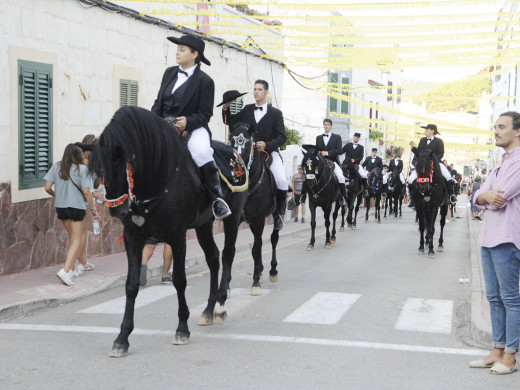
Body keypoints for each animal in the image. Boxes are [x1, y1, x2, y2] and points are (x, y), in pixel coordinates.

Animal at [89, 107, 248, 356]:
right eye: (100, 171)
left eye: (123, 163)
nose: (117, 210)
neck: (159, 175)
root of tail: (235, 154)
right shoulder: (133, 237)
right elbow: (131, 284)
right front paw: (122, 338)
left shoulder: (177, 236)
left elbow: (180, 280)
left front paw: (182, 329)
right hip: (203, 225)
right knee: (213, 258)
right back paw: (208, 310)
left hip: (231, 219)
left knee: (227, 255)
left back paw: (220, 305)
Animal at [229, 122, 278, 296]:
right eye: (231, 142)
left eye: (247, 144)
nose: (236, 169)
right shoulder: (237, 220)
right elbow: (232, 249)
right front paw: (226, 287)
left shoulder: (259, 220)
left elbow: (257, 248)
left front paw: (255, 283)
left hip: (274, 215)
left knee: (273, 239)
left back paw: (272, 272)